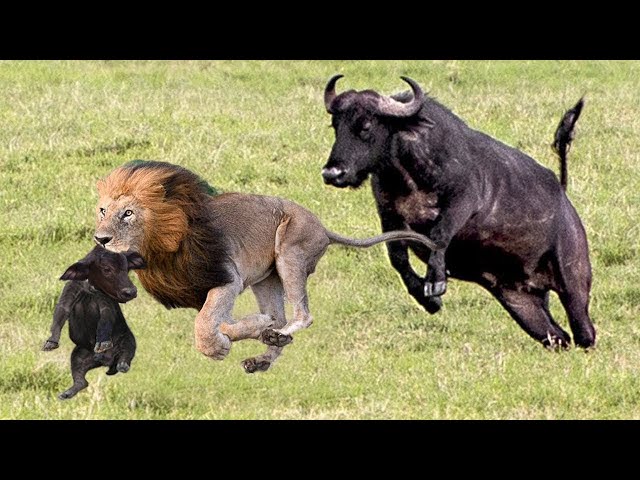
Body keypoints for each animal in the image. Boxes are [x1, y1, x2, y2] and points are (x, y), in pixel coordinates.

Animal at [94, 160, 438, 372]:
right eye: (102, 211)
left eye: (128, 213)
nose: (100, 238)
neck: (161, 249)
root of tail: (323, 228)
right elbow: (220, 322)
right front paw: (249, 329)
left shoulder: (227, 279)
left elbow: (205, 325)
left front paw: (219, 346)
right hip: (265, 279)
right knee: (280, 315)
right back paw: (265, 350)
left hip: (291, 252)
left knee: (302, 315)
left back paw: (277, 334)